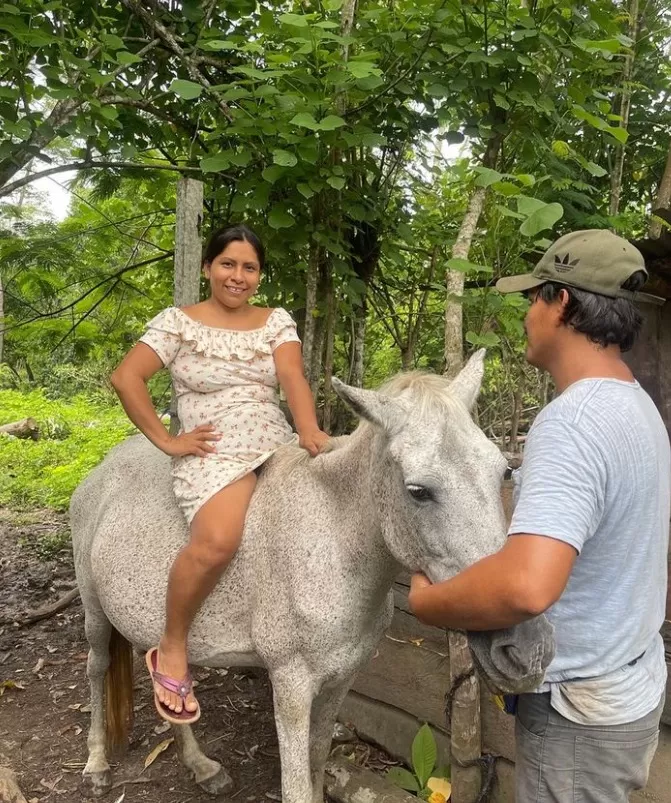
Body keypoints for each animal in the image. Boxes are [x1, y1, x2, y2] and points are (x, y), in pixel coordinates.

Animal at [72, 354, 556, 803]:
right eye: (419, 491)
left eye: (504, 472)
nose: (526, 647)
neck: (332, 543)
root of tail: (102, 470)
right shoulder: (291, 686)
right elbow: (296, 786)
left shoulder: (340, 679)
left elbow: (319, 759)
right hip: (94, 611)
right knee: (97, 667)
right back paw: (96, 765)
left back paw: (201, 765)